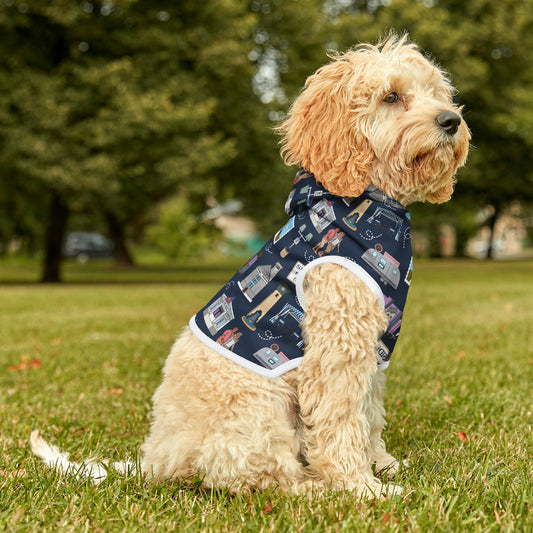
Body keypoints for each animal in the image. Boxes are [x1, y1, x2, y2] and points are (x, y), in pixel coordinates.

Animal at [31, 35, 468, 496]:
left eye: (435, 92)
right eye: (391, 96)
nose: (451, 120)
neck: (364, 203)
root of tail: (156, 460)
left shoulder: (373, 349)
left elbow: (369, 414)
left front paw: (382, 464)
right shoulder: (336, 348)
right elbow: (341, 421)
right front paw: (361, 487)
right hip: (259, 408)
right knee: (258, 476)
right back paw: (312, 487)